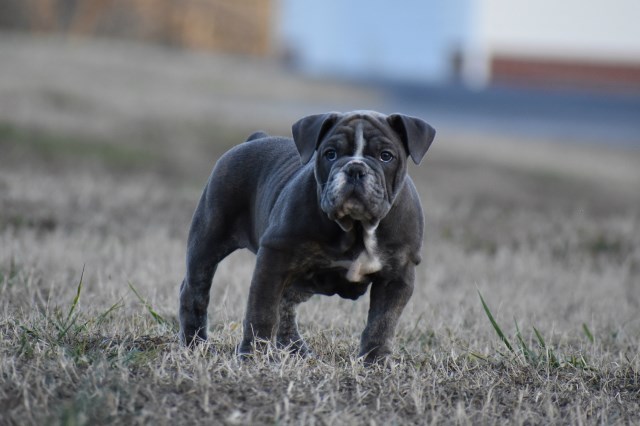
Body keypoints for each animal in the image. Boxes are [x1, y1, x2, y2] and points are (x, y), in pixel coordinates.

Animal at [180, 110, 436, 362]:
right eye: (330, 154)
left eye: (386, 156)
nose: (355, 168)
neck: (356, 227)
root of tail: (255, 138)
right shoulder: (274, 257)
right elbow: (262, 309)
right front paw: (253, 355)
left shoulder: (397, 276)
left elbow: (382, 323)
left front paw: (375, 361)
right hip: (209, 239)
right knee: (196, 290)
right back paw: (195, 343)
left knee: (286, 305)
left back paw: (295, 349)